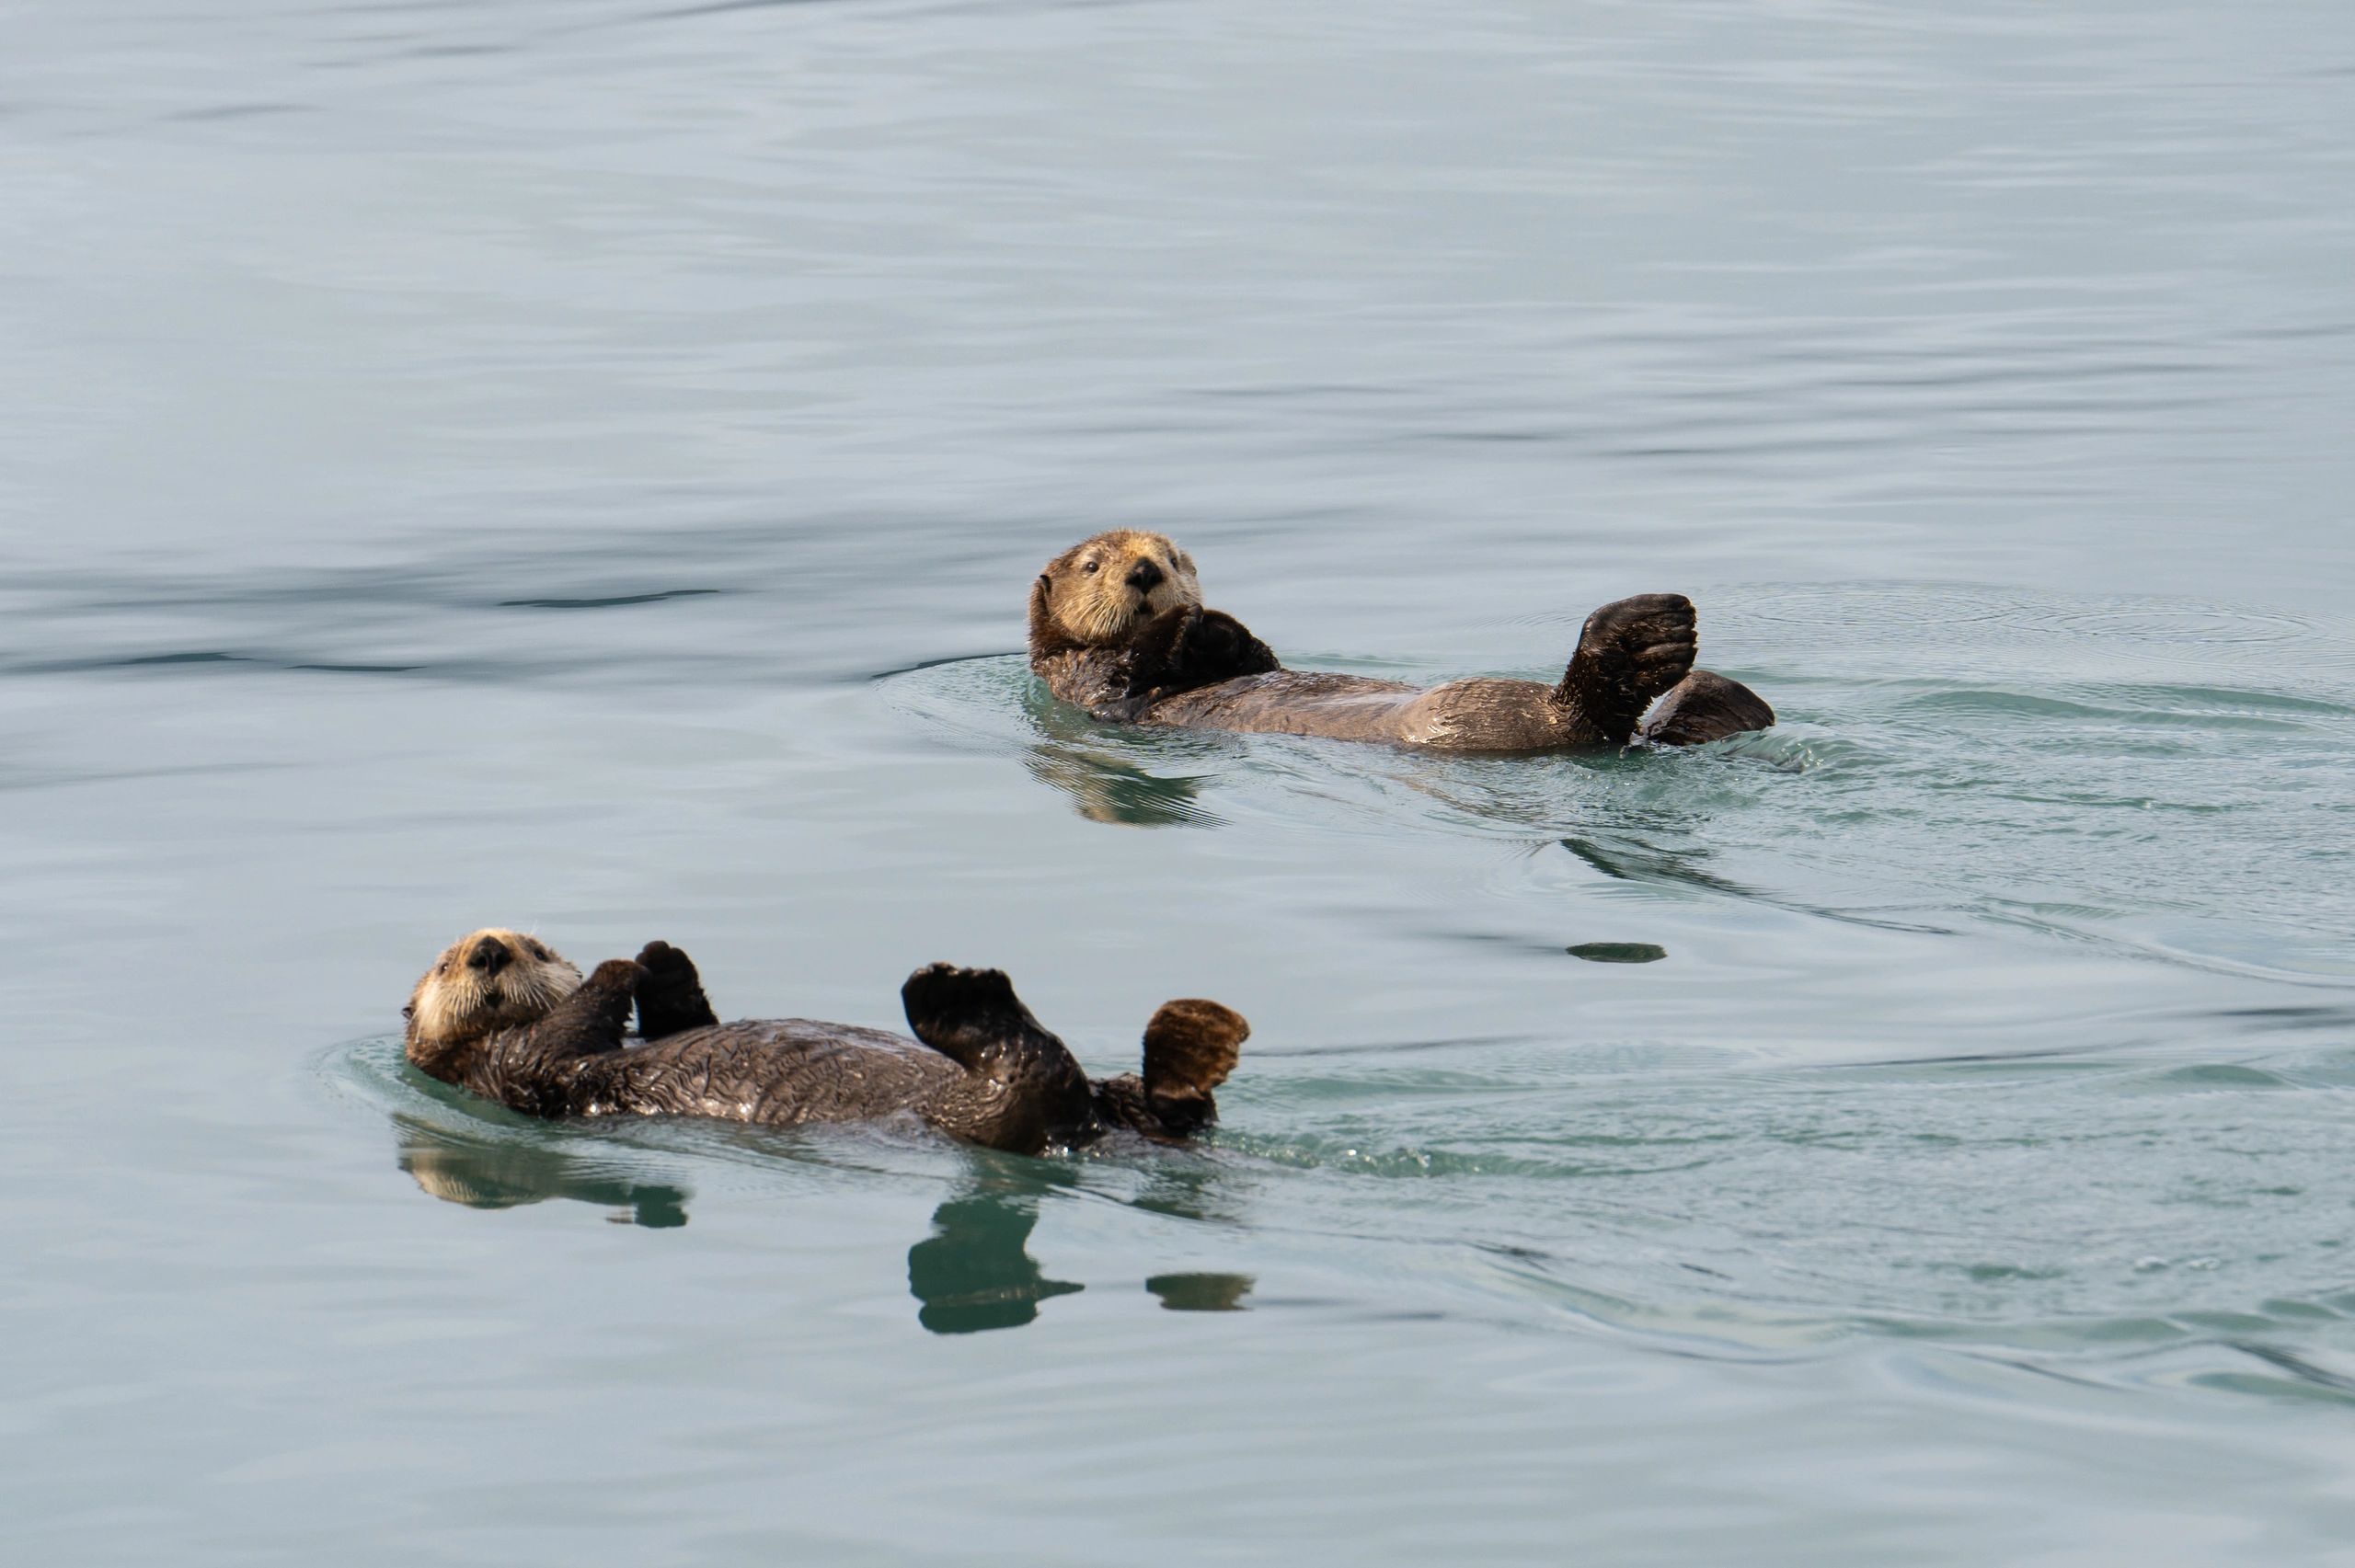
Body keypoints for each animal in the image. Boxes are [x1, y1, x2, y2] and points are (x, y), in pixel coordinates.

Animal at [401, 929, 1246, 1156]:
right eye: (445, 962)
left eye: (536, 946)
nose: (488, 950)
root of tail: (1103, 1131)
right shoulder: (507, 1073)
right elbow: (556, 1038)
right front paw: (617, 966)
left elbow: (679, 1018)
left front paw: (661, 958)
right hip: (997, 1115)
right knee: (1032, 1075)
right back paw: (954, 992)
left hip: (1121, 1105)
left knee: (1172, 1106)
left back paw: (1196, 1035)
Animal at [1027, 529, 1774, 751]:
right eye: (1093, 565)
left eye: (1173, 558)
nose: (1146, 572)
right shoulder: (1085, 681)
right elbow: (1131, 679)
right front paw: (1182, 628)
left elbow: (1256, 655)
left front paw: (1214, 626)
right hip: (1487, 713)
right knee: (1589, 708)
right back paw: (1646, 638)